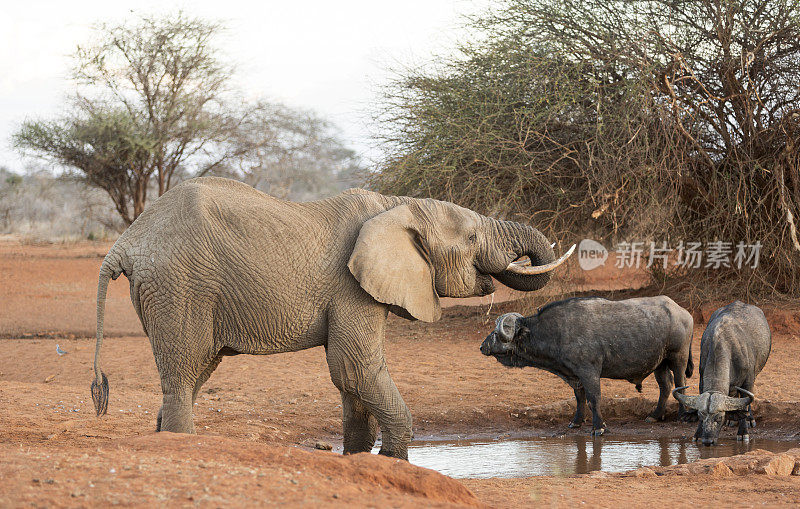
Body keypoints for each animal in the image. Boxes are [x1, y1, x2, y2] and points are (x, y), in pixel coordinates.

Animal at [90, 177, 572, 458]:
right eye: (472, 238)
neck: (396, 204)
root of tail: (127, 241)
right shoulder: (349, 285)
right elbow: (353, 367)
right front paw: (393, 462)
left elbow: (352, 379)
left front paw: (358, 459)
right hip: (179, 286)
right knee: (184, 372)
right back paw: (181, 447)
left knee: (195, 372)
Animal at [482, 296, 692, 434]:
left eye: (496, 333)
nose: (482, 346)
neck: (556, 332)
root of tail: (682, 311)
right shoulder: (575, 375)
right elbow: (580, 398)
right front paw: (576, 422)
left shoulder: (589, 372)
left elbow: (593, 398)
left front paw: (599, 427)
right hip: (660, 364)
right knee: (666, 386)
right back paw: (655, 415)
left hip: (678, 358)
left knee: (680, 384)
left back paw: (683, 415)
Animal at [672, 302, 772, 444]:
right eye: (700, 416)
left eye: (719, 418)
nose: (708, 441)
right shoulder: (702, 379)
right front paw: (698, 434)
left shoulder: (748, 381)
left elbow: (745, 404)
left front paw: (743, 432)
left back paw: (749, 419)